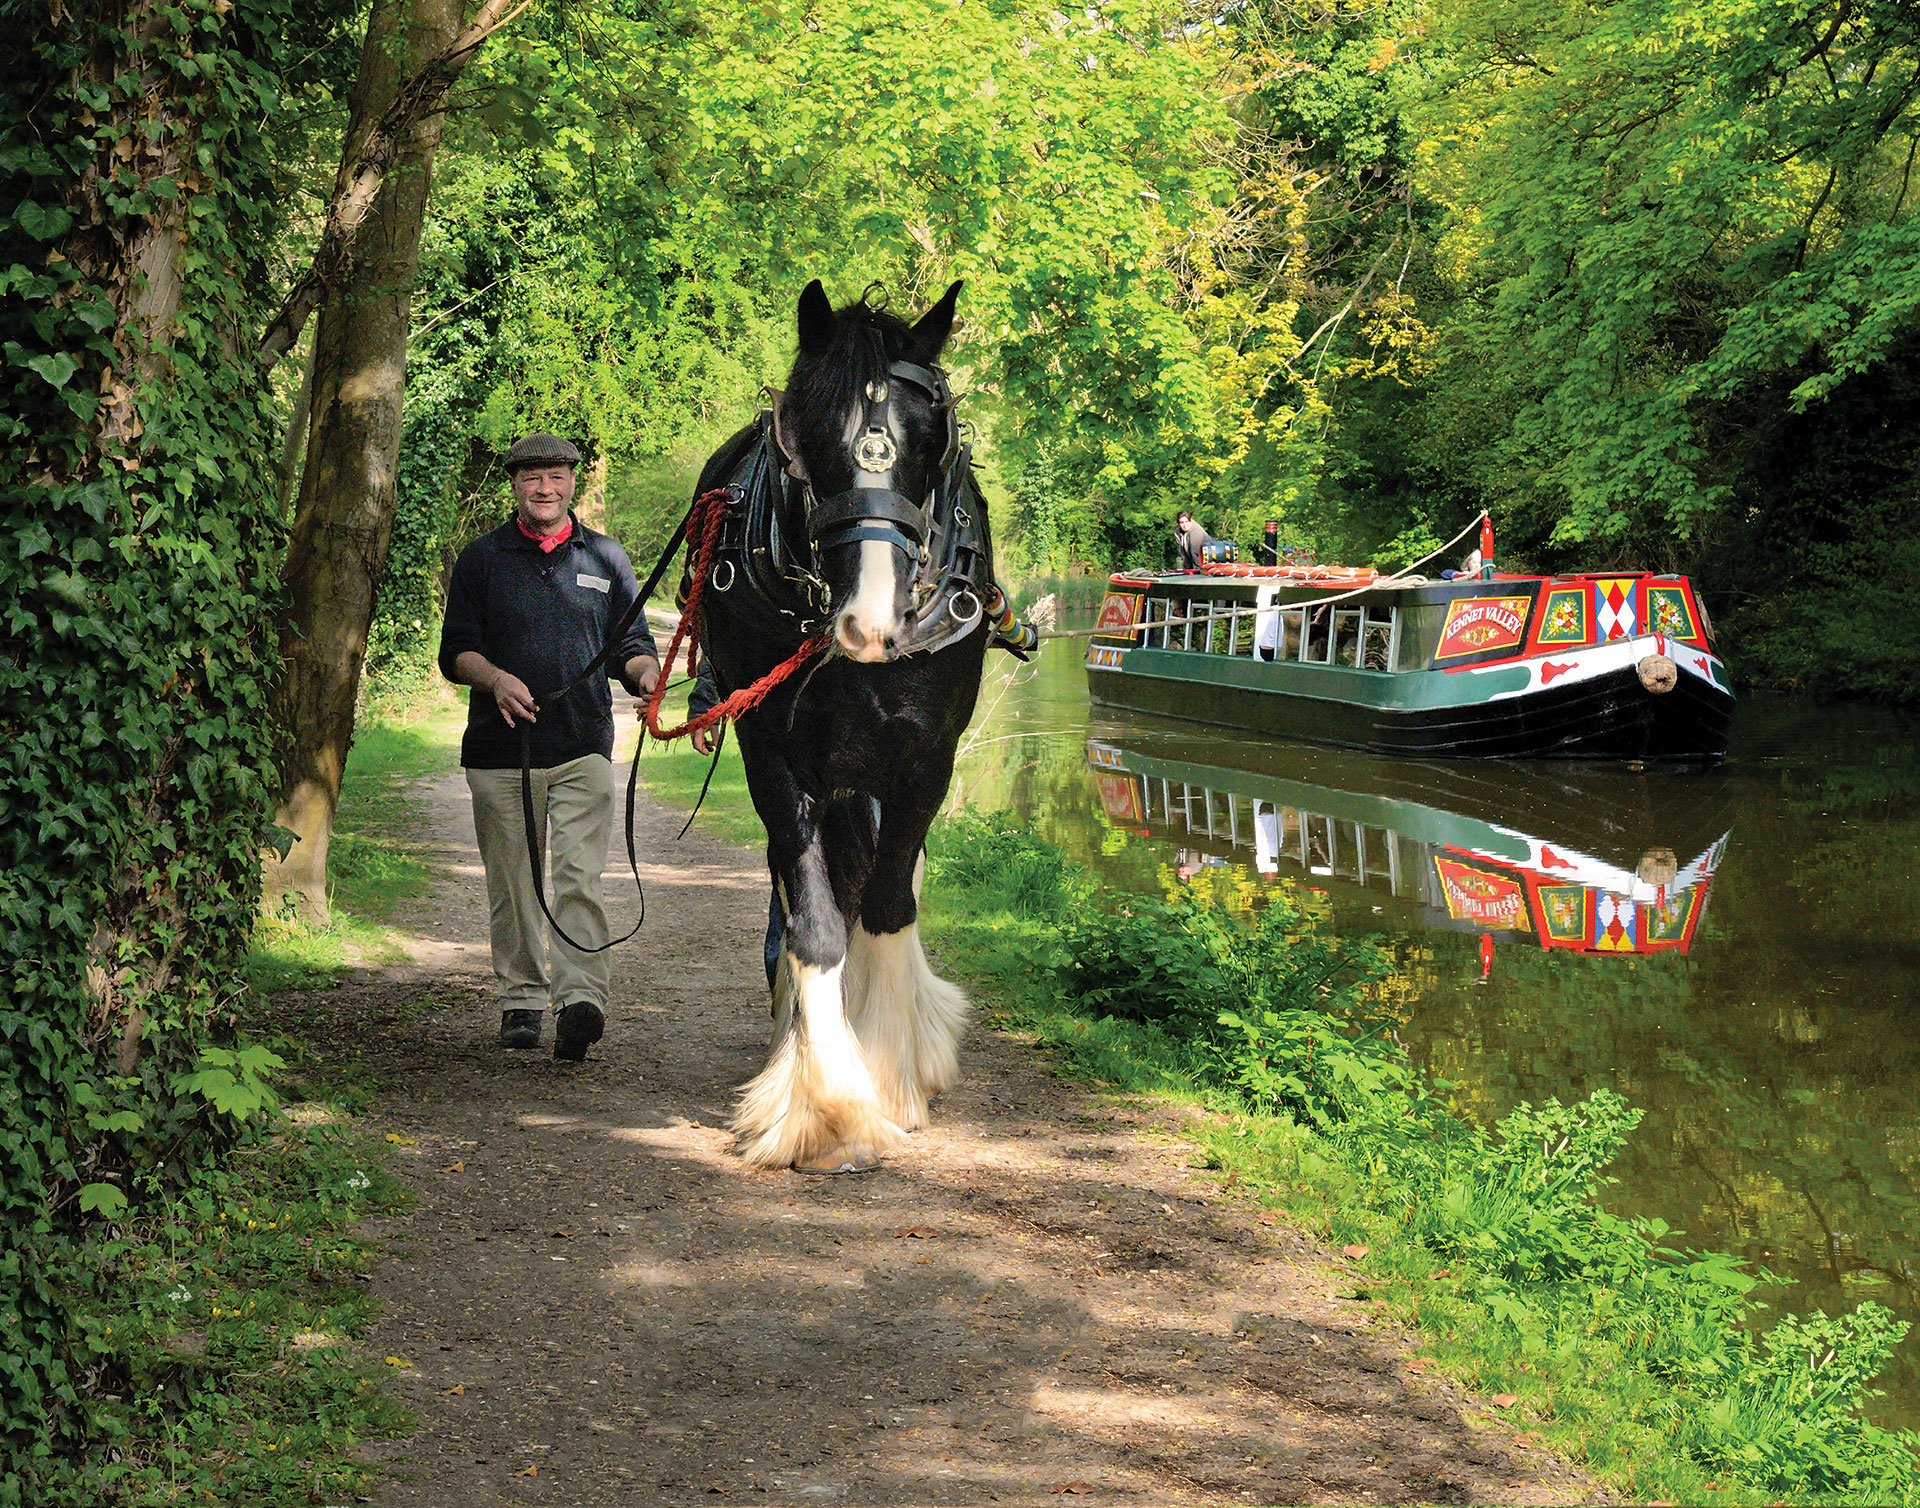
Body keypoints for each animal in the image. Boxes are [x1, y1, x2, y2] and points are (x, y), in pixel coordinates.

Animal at [687, 282, 998, 1175]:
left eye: (932, 439)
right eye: (805, 436)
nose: (869, 620)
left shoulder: (928, 758)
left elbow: (890, 901)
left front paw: (892, 1075)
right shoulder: (775, 757)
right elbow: (817, 923)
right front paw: (828, 1107)